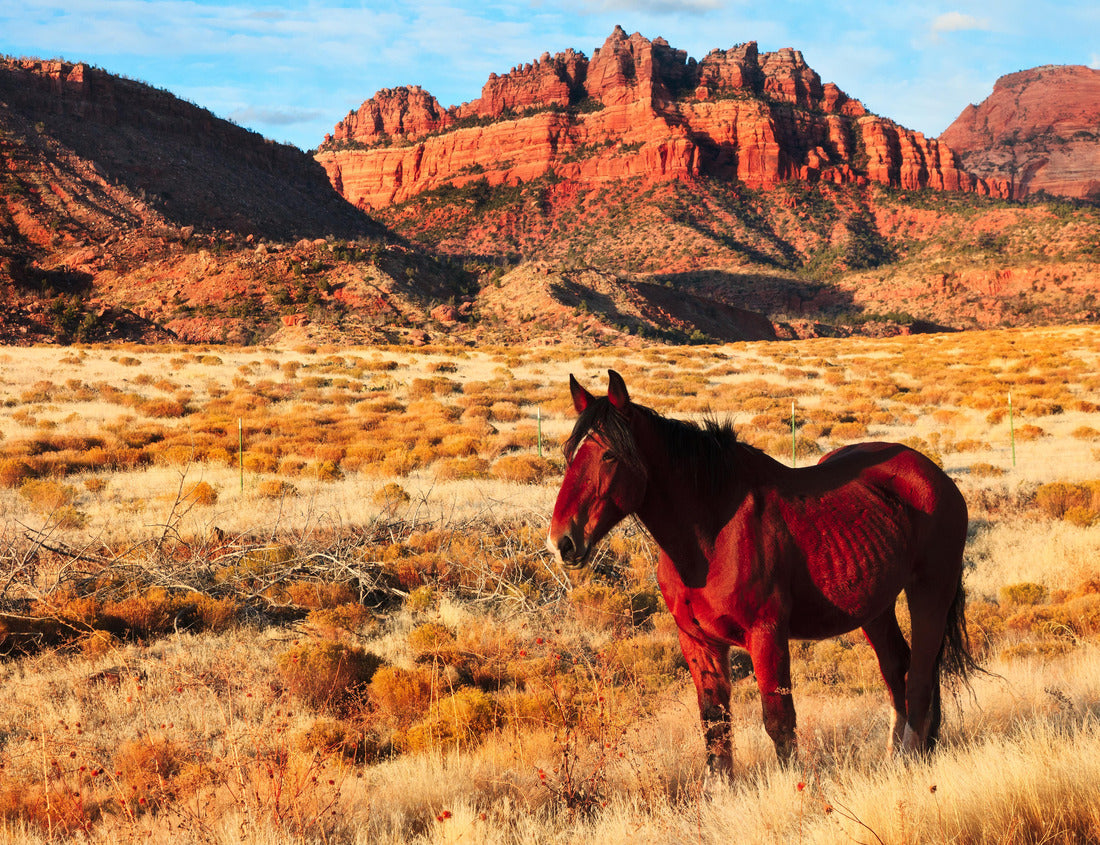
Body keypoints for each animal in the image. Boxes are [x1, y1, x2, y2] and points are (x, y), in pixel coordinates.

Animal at [547, 370, 978, 774]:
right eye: (569, 453)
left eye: (609, 456)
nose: (562, 541)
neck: (710, 538)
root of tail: (933, 474)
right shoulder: (699, 642)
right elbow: (715, 726)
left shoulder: (766, 635)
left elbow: (779, 723)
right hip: (875, 606)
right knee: (896, 669)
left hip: (930, 592)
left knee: (920, 678)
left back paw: (911, 760)